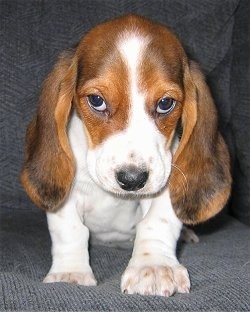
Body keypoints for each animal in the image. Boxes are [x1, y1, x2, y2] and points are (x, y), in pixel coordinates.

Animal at [20, 15, 231, 298]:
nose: (132, 180)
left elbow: (156, 222)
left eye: (166, 103)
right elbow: (70, 229)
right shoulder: (66, 194)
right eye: (96, 100)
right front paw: (70, 273)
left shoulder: (165, 180)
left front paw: (154, 267)